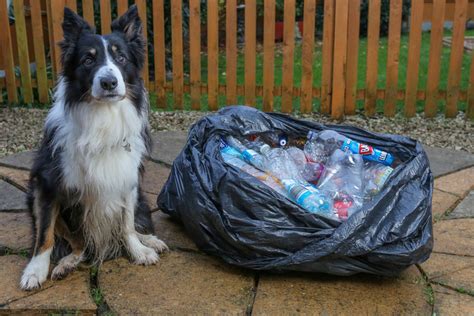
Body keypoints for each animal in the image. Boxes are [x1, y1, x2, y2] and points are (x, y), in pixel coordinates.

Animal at [20, 5, 168, 292]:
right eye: (88, 60)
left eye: (121, 58)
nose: (109, 82)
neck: (103, 117)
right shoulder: (47, 184)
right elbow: (44, 233)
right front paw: (35, 271)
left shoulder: (126, 178)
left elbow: (127, 224)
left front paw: (138, 250)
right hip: (35, 198)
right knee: (78, 244)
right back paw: (66, 264)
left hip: (141, 197)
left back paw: (150, 240)